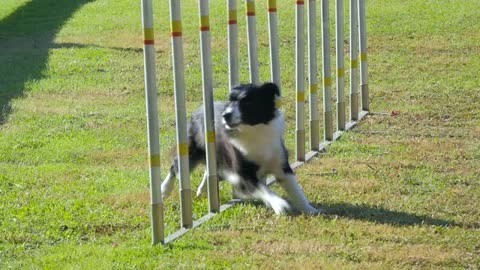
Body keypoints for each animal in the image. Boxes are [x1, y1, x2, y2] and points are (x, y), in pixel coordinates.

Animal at [160, 82, 318, 215]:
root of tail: (199, 109)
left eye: (247, 101)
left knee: (211, 171)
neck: (253, 130)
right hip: (194, 150)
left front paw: (310, 209)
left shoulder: (280, 163)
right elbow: (264, 189)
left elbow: (296, 190)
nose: (226, 115)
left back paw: (202, 189)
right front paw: (279, 204)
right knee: (176, 167)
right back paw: (164, 189)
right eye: (229, 101)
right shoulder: (243, 172)